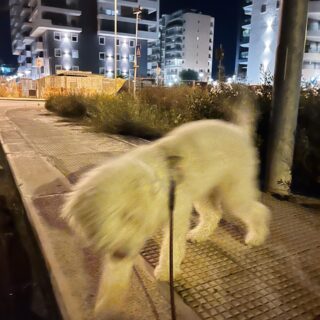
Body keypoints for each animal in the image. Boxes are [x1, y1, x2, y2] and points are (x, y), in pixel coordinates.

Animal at [60, 119, 270, 316]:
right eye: (101, 224)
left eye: (131, 217)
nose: (122, 254)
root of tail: (238, 131)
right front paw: (109, 303)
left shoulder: (176, 214)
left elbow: (172, 245)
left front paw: (166, 271)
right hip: (204, 191)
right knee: (213, 213)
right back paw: (199, 235)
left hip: (233, 192)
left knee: (258, 210)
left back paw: (256, 236)